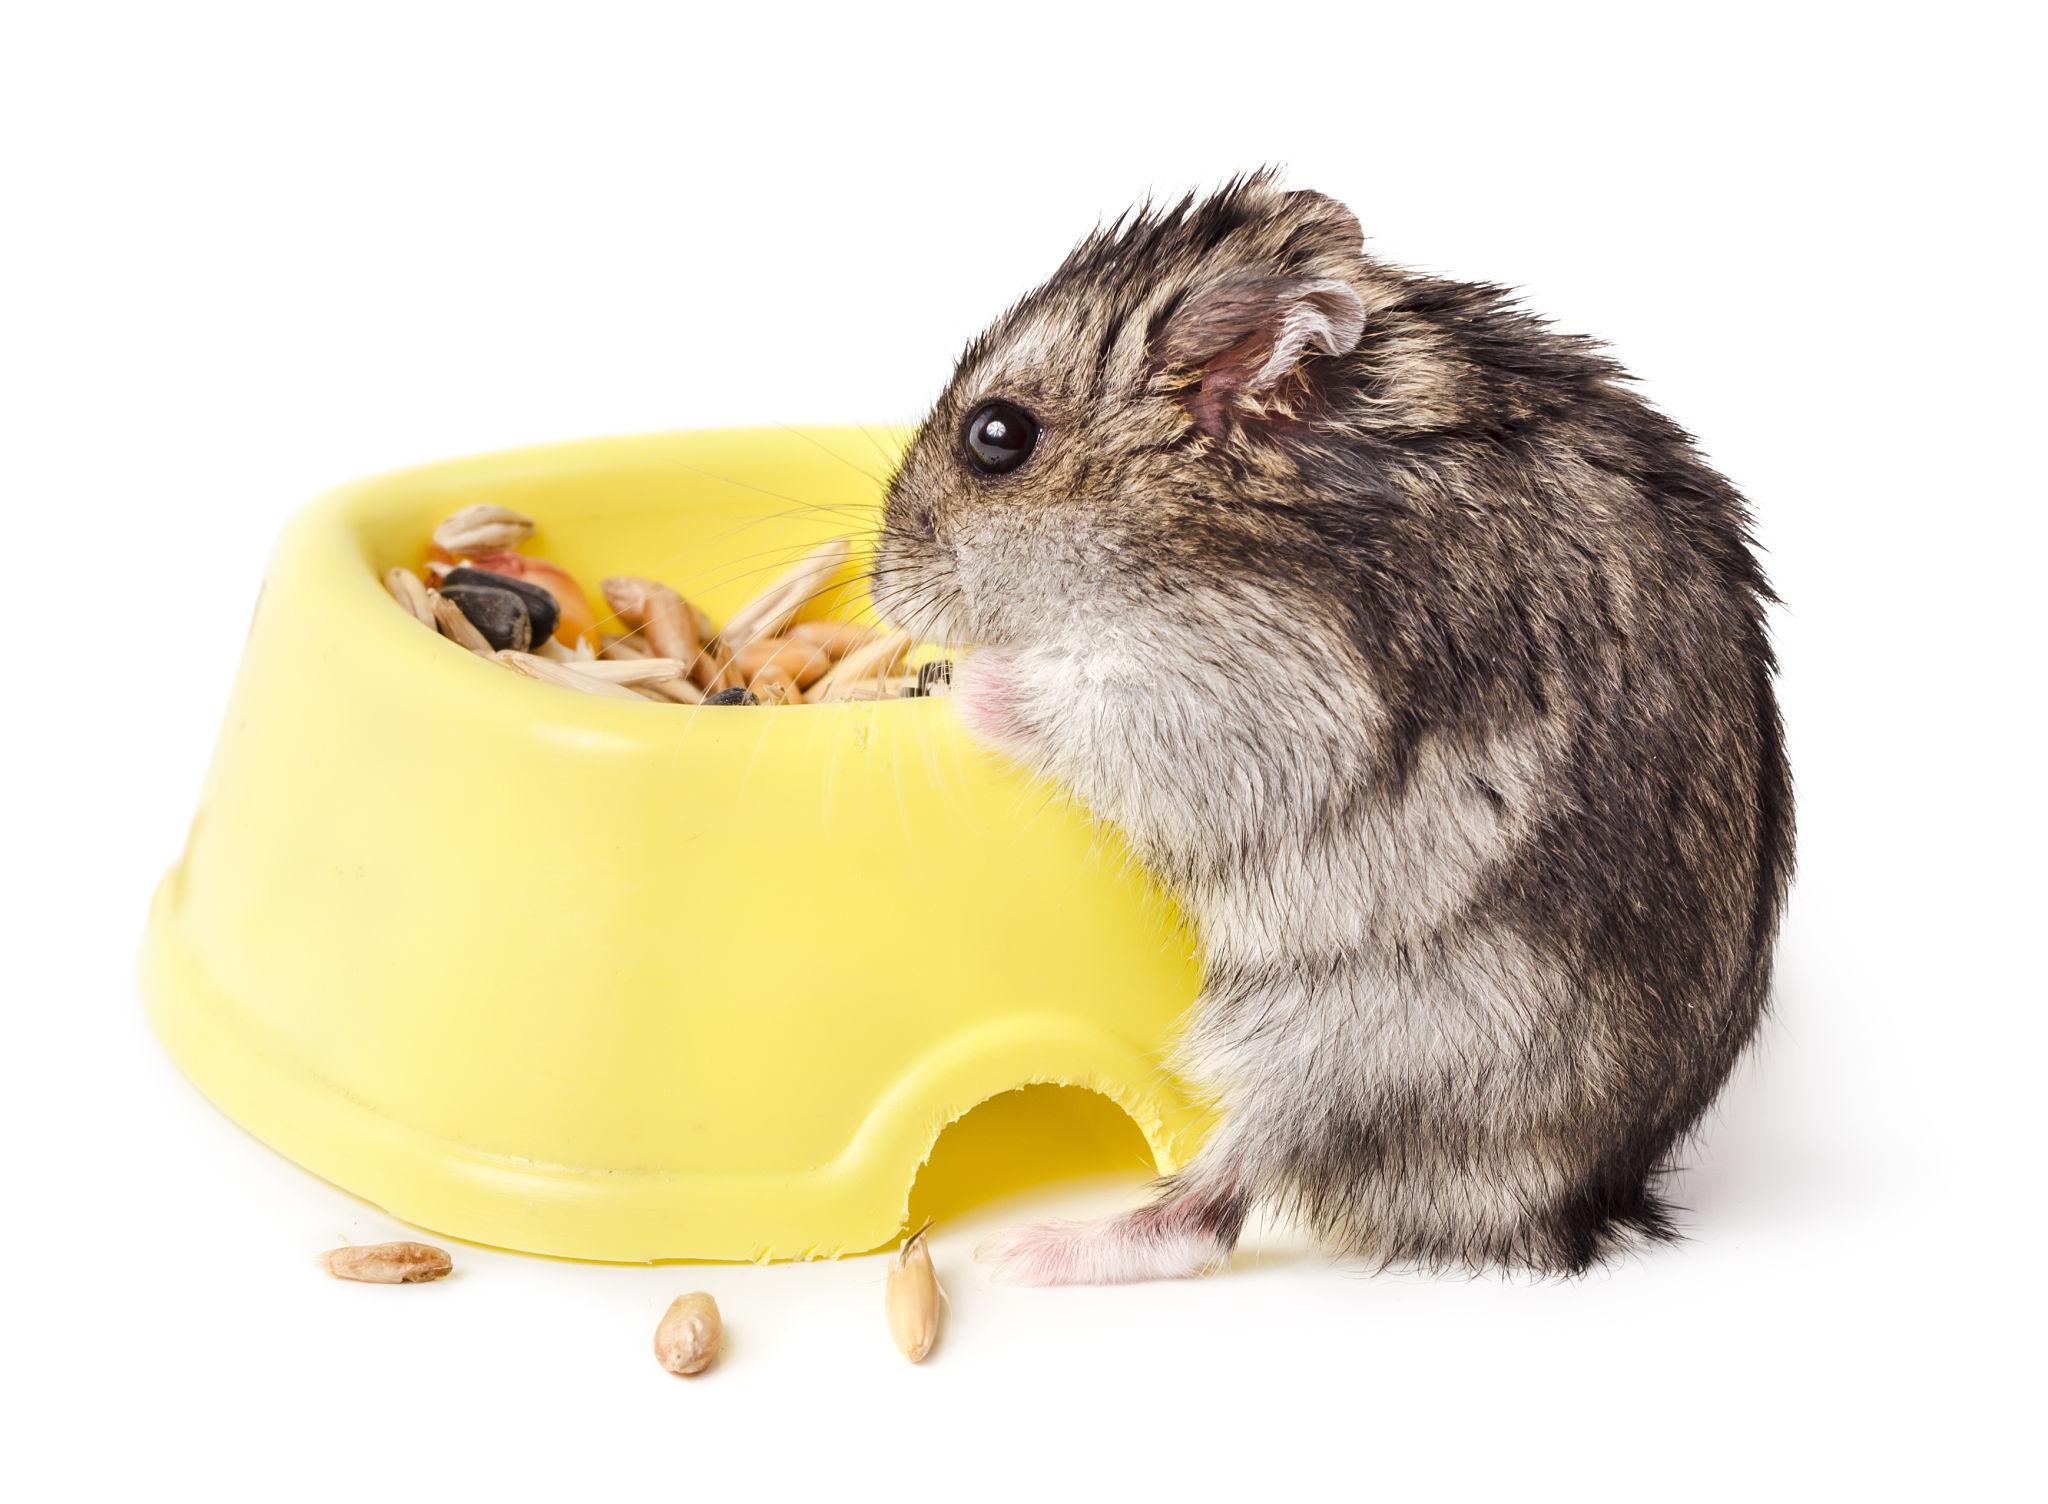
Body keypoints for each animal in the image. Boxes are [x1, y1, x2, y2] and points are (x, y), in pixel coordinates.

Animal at [869, 172, 1793, 1282]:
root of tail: (1576, 1208)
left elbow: (1073, 696)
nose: (878, 590)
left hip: (1356, 1039)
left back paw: (1036, 1252)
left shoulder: (1243, 687)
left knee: (1213, 1205)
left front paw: (964, 679)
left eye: (996, 436)